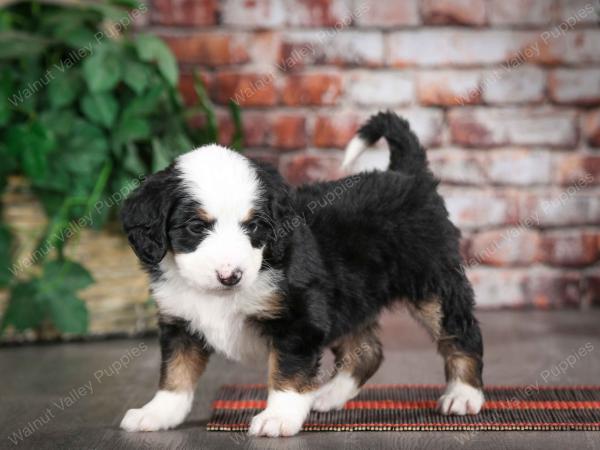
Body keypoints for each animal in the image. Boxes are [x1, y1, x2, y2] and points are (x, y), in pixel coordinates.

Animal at [119, 111, 486, 436]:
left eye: (254, 226)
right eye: (196, 227)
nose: (230, 276)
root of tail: (407, 175)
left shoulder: (299, 317)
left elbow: (288, 371)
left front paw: (278, 418)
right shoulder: (180, 321)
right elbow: (175, 374)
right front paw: (158, 413)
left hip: (433, 284)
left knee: (461, 333)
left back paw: (463, 395)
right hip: (346, 299)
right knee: (367, 351)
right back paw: (326, 396)